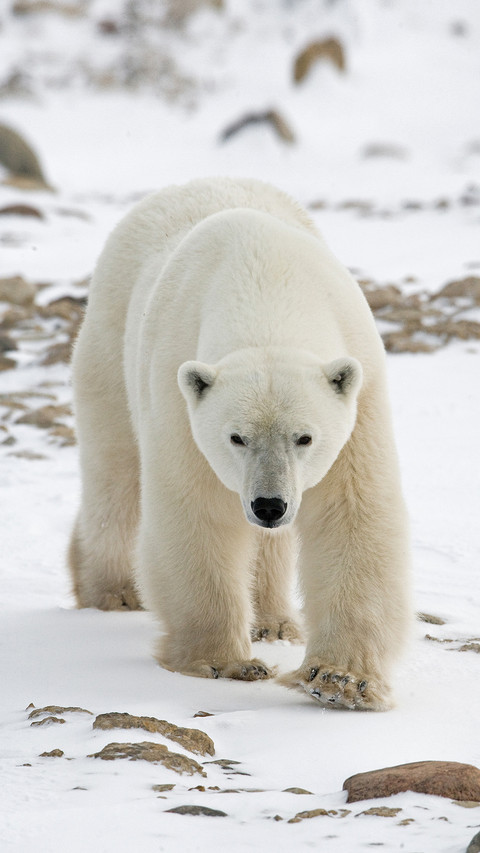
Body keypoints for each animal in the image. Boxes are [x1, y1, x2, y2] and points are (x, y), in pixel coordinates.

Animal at [69, 177, 412, 711]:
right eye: (236, 437)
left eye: (305, 437)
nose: (269, 504)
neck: (264, 283)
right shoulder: (178, 394)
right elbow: (195, 513)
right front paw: (224, 661)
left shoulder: (361, 393)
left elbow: (351, 514)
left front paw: (340, 680)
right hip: (110, 339)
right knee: (114, 469)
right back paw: (112, 590)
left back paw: (272, 620)